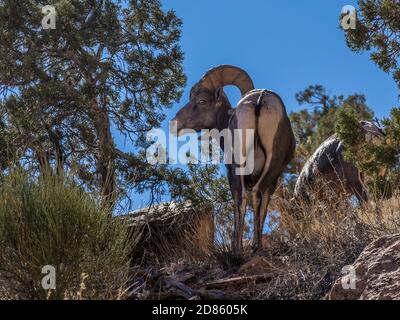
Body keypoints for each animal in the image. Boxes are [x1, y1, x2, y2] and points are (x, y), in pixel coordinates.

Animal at [170, 66, 296, 254]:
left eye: (201, 101)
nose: (174, 124)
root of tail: (259, 100)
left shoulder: (232, 173)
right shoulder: (273, 179)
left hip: (244, 166)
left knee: (244, 197)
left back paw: (242, 248)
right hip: (270, 163)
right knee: (255, 195)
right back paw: (255, 246)